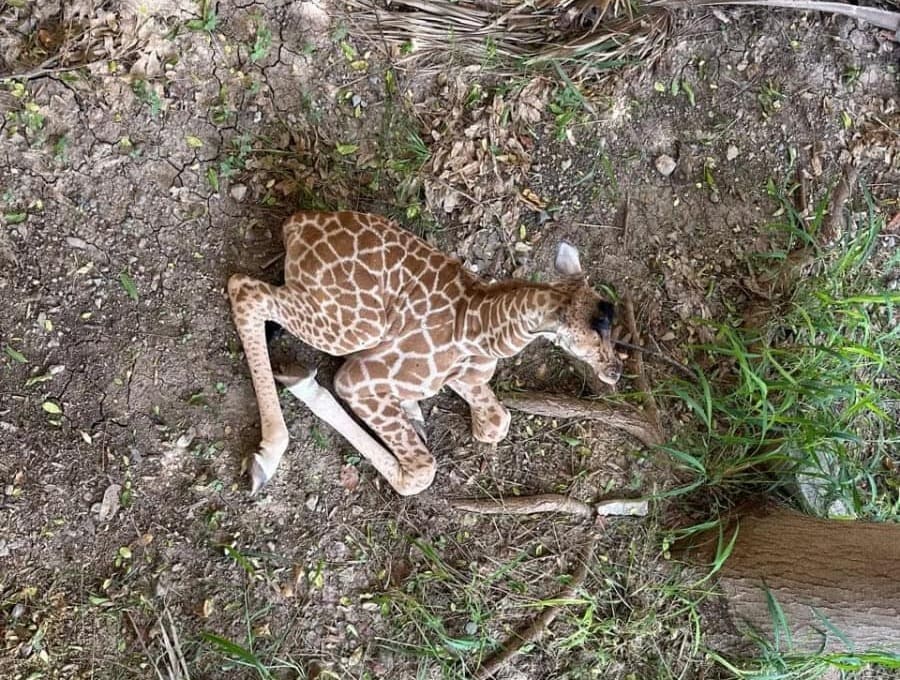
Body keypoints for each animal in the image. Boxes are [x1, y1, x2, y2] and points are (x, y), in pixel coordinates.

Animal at [229, 210, 624, 496]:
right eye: (593, 338)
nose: (615, 371)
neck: (484, 326)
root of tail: (295, 225)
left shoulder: (465, 378)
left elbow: (496, 423)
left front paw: (414, 411)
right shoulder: (356, 380)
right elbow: (421, 472)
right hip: (355, 329)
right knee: (245, 288)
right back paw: (267, 456)